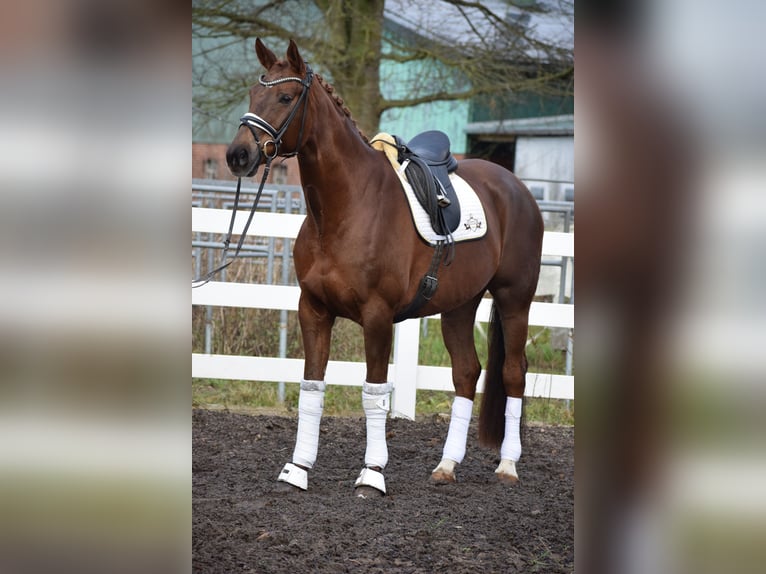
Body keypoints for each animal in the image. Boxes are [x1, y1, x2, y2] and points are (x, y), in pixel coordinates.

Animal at [225, 41, 544, 500]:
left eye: (285, 97)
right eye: (253, 94)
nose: (237, 155)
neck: (346, 208)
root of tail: (515, 187)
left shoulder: (377, 317)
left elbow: (374, 393)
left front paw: (372, 474)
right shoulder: (313, 310)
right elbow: (311, 388)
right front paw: (297, 469)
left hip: (514, 299)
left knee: (514, 373)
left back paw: (507, 466)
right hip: (459, 306)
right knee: (466, 374)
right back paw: (446, 466)